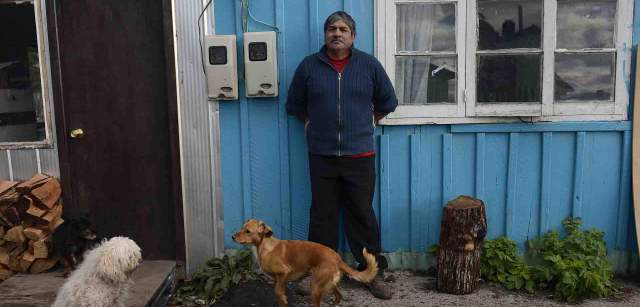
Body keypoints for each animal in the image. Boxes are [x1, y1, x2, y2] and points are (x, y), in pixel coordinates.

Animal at [232, 220, 378, 306]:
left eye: (248, 231)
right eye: (241, 228)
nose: (232, 237)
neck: (265, 245)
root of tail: (337, 258)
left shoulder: (284, 273)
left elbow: (278, 292)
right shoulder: (278, 279)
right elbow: (280, 295)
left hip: (315, 287)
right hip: (329, 284)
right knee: (338, 296)